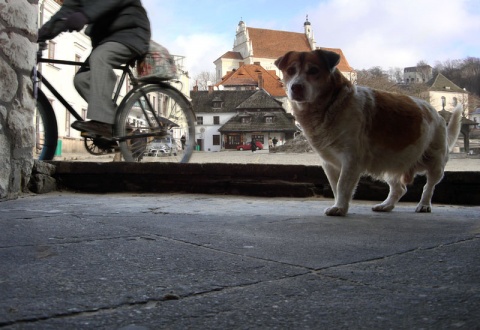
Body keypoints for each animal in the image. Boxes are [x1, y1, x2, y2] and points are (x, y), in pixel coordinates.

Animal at [276, 48, 464, 214]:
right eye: (290, 71)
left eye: (313, 70)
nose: (296, 87)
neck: (330, 105)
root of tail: (435, 113)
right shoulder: (329, 163)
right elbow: (336, 186)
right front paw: (339, 204)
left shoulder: (351, 159)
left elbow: (342, 185)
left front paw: (340, 208)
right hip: (390, 162)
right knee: (399, 188)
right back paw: (386, 205)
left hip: (435, 163)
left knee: (429, 186)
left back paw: (424, 205)